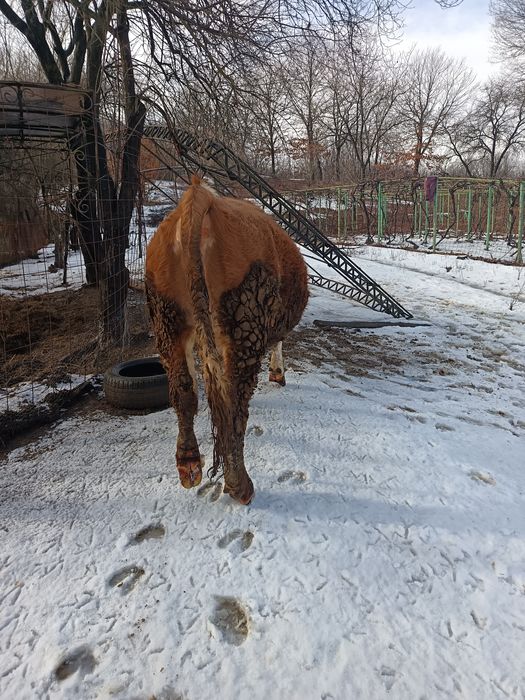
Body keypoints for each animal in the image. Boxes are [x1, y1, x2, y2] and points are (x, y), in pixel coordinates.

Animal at [145, 176, 308, 505]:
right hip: (243, 324)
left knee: (184, 390)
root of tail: (199, 196)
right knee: (233, 402)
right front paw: (278, 373)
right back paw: (240, 485)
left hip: (166, 317)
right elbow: (279, 341)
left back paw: (189, 465)